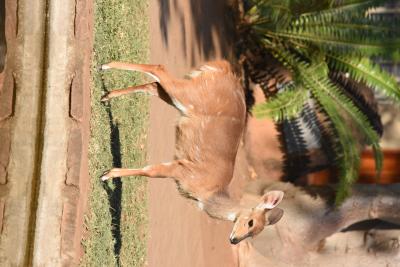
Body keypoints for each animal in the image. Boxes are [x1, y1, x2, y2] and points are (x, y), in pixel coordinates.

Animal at [101, 60, 286, 245]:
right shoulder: (182, 170)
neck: (208, 194)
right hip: (187, 95)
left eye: (255, 234)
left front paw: (107, 174)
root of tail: (223, 69)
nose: (234, 240)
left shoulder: (179, 167)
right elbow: (150, 171)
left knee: (153, 85)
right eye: (251, 222)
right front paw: (106, 175)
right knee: (159, 69)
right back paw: (105, 66)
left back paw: (105, 96)